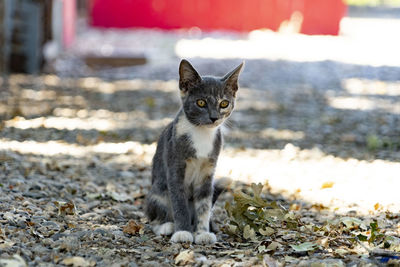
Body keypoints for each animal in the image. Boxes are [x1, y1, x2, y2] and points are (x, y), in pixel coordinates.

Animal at [145, 59, 242, 245]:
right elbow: (179, 202)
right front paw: (182, 232)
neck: (201, 133)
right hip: (158, 191)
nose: (214, 117)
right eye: (201, 103)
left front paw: (202, 232)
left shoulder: (208, 172)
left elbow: (204, 204)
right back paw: (166, 226)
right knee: (153, 216)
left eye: (224, 103)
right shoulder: (175, 166)